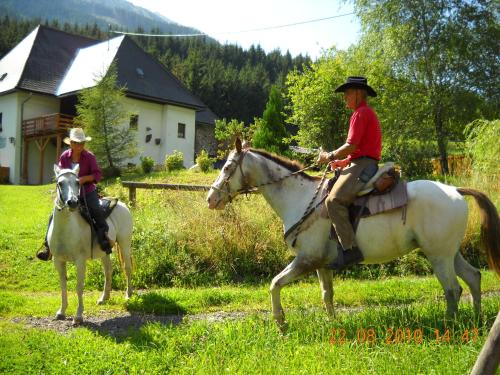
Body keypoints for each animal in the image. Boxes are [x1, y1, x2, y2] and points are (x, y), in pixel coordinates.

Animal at [49, 165, 134, 326]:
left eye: (77, 182)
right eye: (60, 183)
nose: (73, 202)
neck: (66, 229)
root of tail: (122, 204)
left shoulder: (80, 261)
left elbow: (79, 286)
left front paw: (78, 316)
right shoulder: (58, 261)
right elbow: (63, 285)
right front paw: (61, 311)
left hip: (125, 244)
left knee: (127, 268)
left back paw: (128, 295)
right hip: (105, 251)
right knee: (108, 271)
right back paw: (104, 298)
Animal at [205, 140, 498, 328]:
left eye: (228, 168)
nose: (211, 199)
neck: (299, 197)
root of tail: (456, 190)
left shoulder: (306, 260)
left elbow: (275, 283)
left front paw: (281, 323)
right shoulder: (322, 265)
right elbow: (327, 294)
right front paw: (333, 322)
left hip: (438, 256)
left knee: (452, 289)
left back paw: (449, 325)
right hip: (449, 253)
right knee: (473, 277)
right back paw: (476, 318)